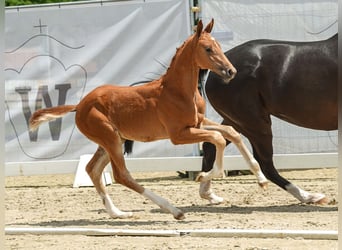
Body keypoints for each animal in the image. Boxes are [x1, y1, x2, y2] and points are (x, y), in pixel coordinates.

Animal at [29, 20, 268, 221]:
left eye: (218, 45)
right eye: (208, 48)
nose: (231, 71)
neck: (178, 91)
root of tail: (79, 105)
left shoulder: (197, 123)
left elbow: (231, 132)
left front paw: (261, 179)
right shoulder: (178, 135)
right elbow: (218, 138)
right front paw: (203, 176)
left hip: (111, 141)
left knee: (92, 170)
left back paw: (117, 213)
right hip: (110, 139)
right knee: (121, 175)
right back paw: (174, 210)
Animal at [200, 33, 336, 205]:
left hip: (237, 121)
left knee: (212, 144)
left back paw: (208, 193)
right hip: (255, 123)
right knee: (265, 163)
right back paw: (309, 196)